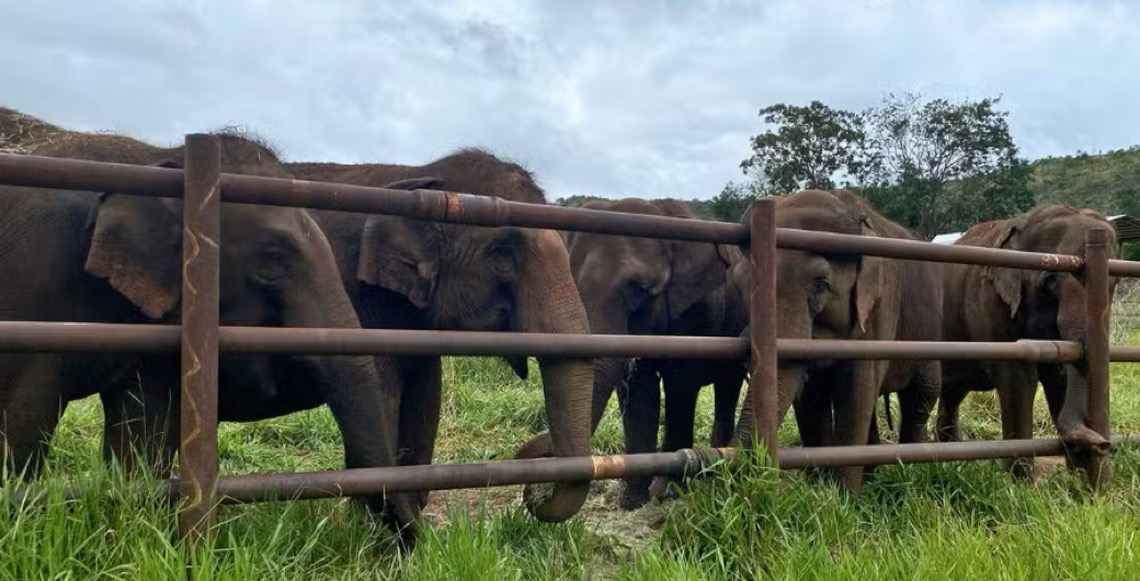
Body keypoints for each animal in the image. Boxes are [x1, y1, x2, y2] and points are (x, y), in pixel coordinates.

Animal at [0, 127, 420, 546]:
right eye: (271, 262)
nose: (411, 542)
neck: (156, 161)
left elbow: (143, 431)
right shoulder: (32, 289)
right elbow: (22, 417)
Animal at [283, 149, 595, 526]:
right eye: (502, 252)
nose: (535, 489)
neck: (422, 175)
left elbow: (426, 397)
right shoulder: (360, 300)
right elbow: (379, 395)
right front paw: (380, 526)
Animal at [545, 197, 747, 509]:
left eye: (640, 290)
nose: (542, 494)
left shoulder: (698, 311)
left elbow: (680, 386)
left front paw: (667, 491)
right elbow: (640, 389)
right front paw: (632, 502)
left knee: (727, 387)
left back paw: (715, 470)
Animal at [731, 189, 942, 492]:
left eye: (821, 286)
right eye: (739, 286)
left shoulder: (879, 308)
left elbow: (856, 392)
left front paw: (846, 497)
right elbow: (810, 398)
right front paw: (820, 489)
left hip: (930, 330)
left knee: (921, 395)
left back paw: (911, 474)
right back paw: (873, 477)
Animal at [936, 204, 1117, 477]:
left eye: (1115, 282)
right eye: (1050, 280)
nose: (1105, 444)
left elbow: (1058, 375)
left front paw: (1080, 479)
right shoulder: (991, 301)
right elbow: (1019, 378)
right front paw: (1021, 481)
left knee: (952, 392)